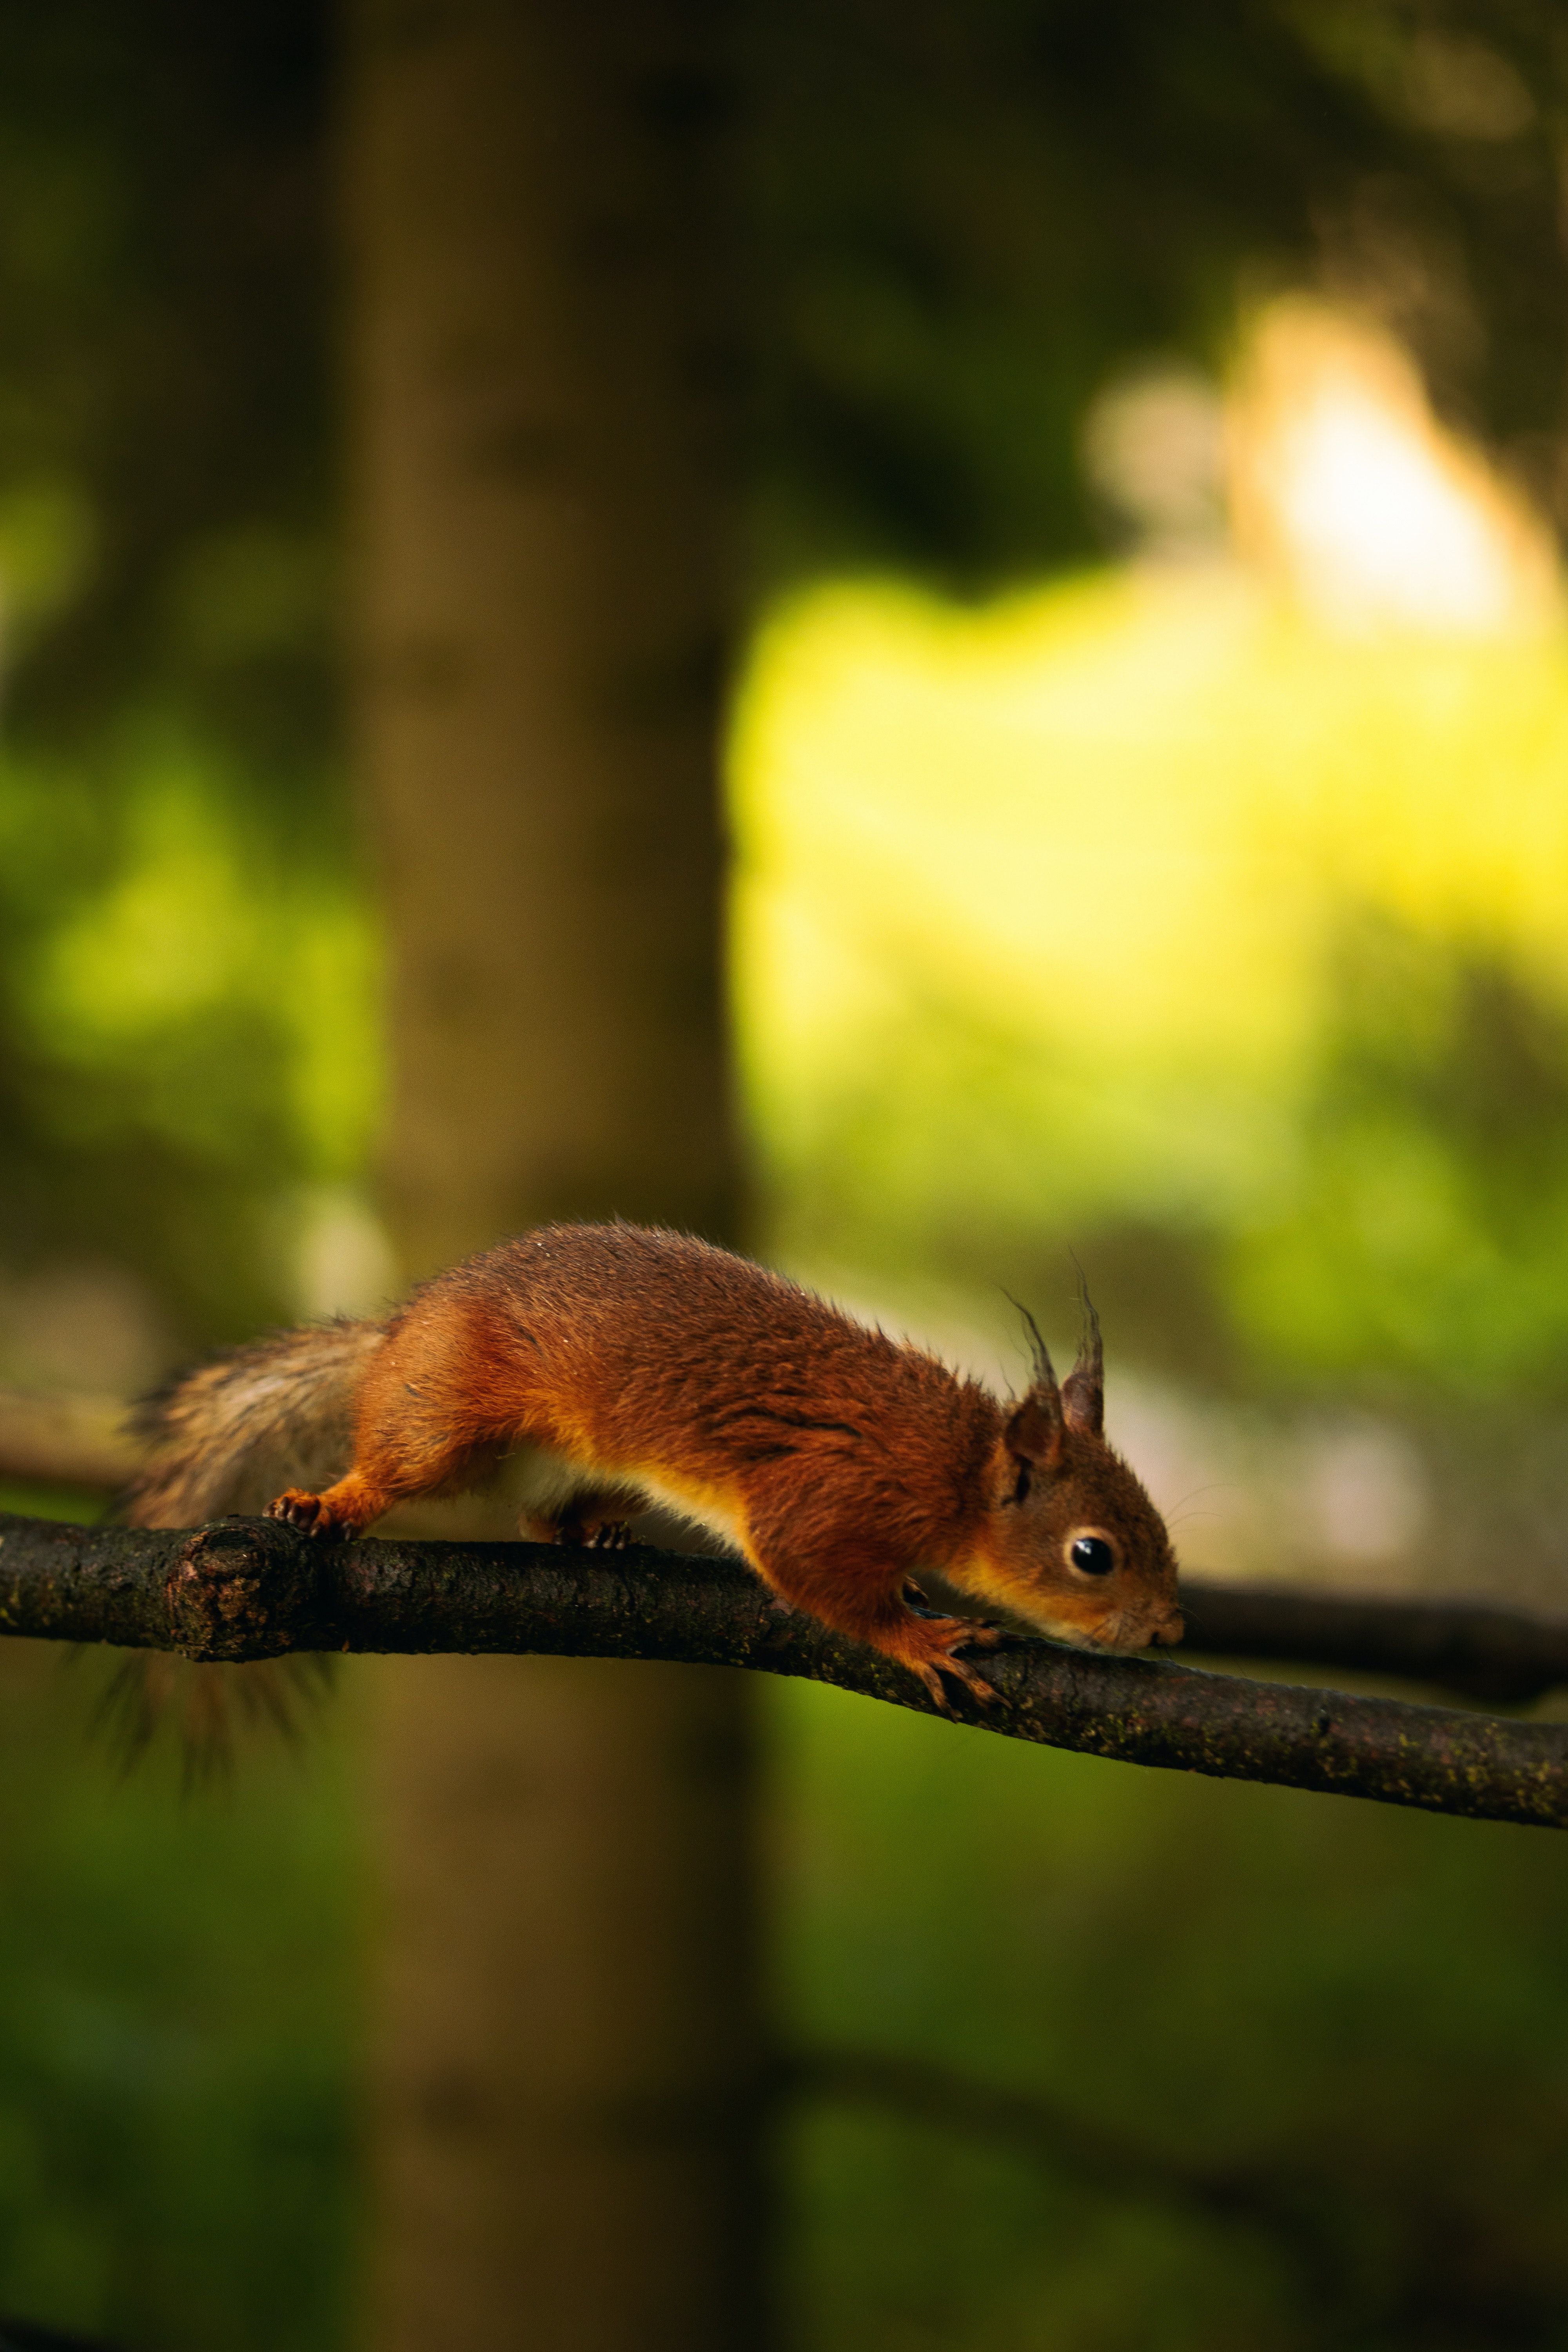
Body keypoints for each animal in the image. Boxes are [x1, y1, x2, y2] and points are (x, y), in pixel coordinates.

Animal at [125, 1220, 1182, 1704]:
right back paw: (334, 1501)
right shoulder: (828, 1493)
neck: (956, 1472)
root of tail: (398, 1335)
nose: (1168, 1630)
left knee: (535, 1517)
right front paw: (918, 1636)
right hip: (446, 1422)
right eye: (1092, 1554)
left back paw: (593, 1534)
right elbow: (806, 1573)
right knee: (395, 1466)